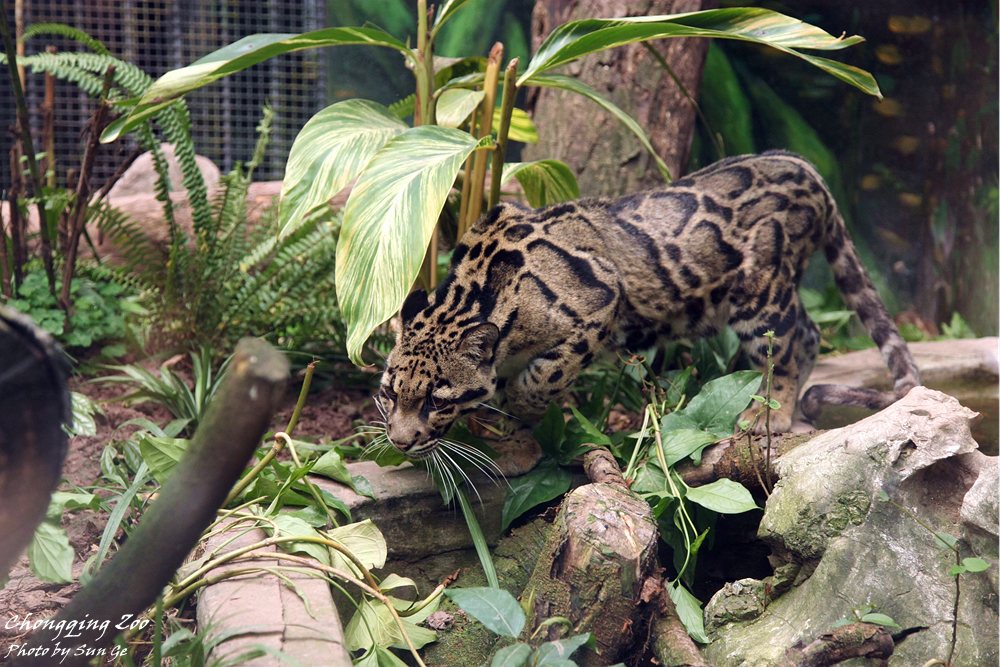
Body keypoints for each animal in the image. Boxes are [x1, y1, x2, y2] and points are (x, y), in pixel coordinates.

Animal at [376, 151, 921, 476]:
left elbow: (536, 384)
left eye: (436, 401)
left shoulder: (598, 306)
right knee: (807, 332)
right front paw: (507, 437)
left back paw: (771, 411)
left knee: (794, 343)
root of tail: (806, 168)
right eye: (388, 393)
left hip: (760, 287)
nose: (400, 443)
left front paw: (519, 426)